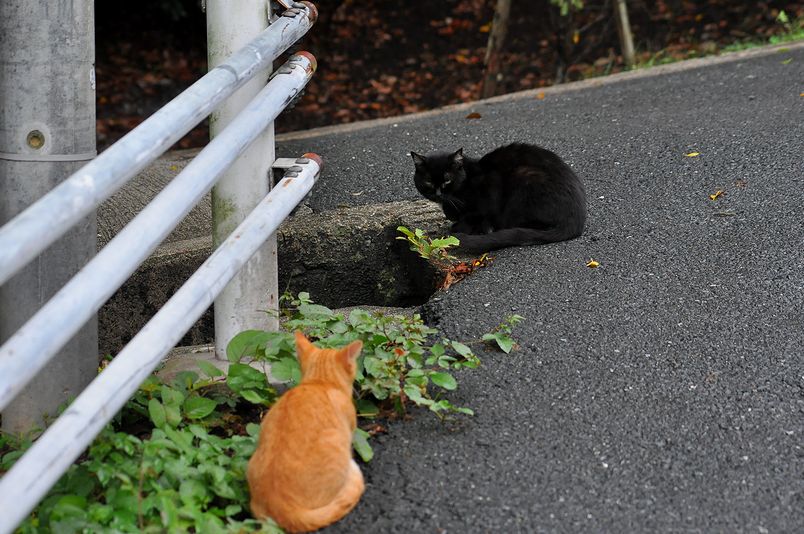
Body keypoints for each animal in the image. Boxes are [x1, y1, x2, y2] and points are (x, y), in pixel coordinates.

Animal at [412, 141, 588, 252]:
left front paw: (463, 227)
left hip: (524, 178)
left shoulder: (491, 185)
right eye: (428, 181)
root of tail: (575, 221)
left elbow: (479, 214)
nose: (437, 193)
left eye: (447, 180)